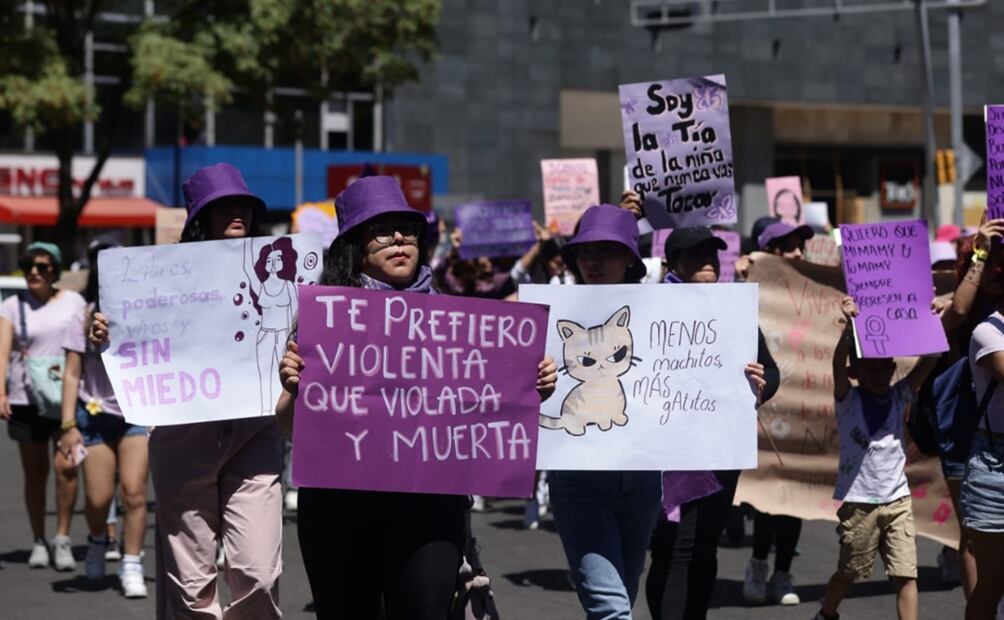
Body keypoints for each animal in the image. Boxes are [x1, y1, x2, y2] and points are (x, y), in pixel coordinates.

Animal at [540, 305, 638, 436]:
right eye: (586, 361)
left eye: (618, 355)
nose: (601, 365)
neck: (603, 385)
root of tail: (562, 419)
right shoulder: (601, 414)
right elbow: (604, 420)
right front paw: (606, 427)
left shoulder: (616, 409)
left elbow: (617, 415)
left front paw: (621, 420)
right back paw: (579, 431)